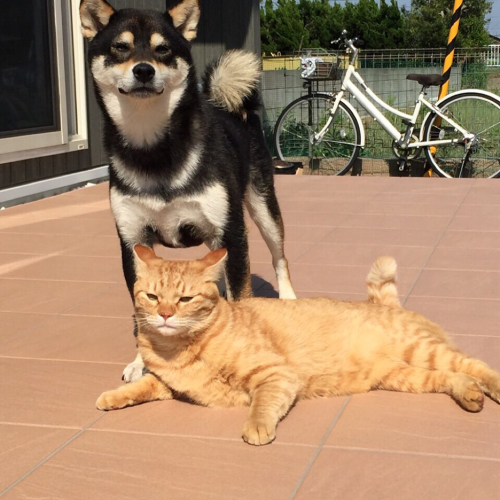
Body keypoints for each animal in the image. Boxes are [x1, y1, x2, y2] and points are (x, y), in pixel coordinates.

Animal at [80, 0, 294, 380]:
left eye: (163, 49)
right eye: (120, 47)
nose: (144, 70)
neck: (153, 151)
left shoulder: (232, 230)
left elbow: (242, 293)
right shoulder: (132, 239)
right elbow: (143, 307)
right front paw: (141, 361)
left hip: (261, 206)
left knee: (279, 257)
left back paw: (288, 298)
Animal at [96, 246, 500, 446]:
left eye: (184, 299)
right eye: (151, 296)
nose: (164, 314)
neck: (176, 350)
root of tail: (384, 303)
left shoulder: (275, 375)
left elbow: (261, 405)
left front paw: (256, 428)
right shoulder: (171, 384)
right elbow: (142, 386)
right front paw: (112, 397)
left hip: (424, 351)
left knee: (477, 366)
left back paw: (492, 390)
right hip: (404, 376)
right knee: (452, 378)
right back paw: (470, 396)